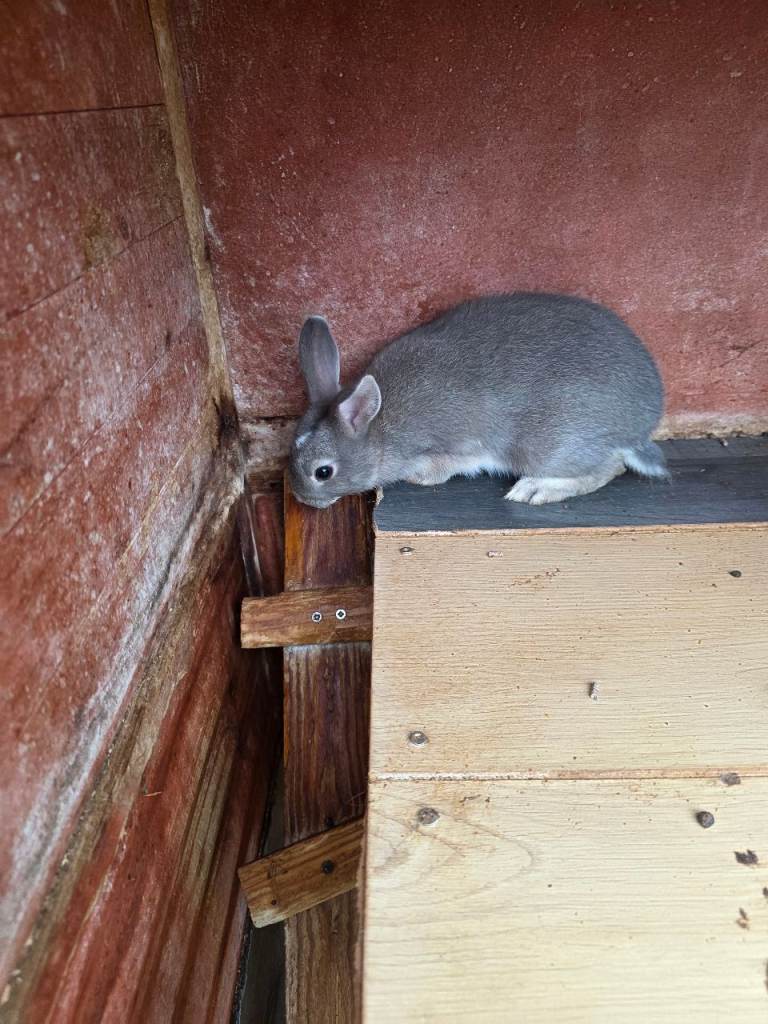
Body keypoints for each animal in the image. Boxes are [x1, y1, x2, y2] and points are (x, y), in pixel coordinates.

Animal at [288, 292, 667, 509]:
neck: (378, 430)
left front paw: (419, 479)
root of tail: (639, 426)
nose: (302, 499)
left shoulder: (456, 447)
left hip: (547, 447)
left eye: (323, 472)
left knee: (609, 467)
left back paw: (534, 490)